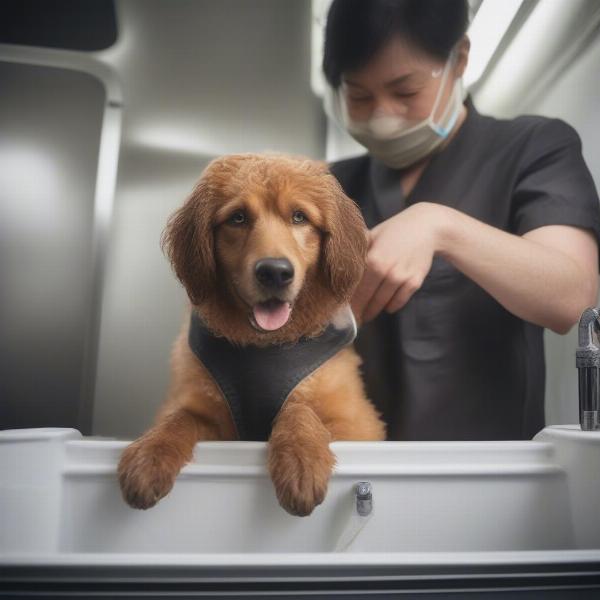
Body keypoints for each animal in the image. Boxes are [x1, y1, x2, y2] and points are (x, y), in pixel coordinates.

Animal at [117, 155, 384, 516]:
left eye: (299, 217)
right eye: (238, 218)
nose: (274, 272)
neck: (264, 346)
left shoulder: (359, 423)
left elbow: (300, 409)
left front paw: (300, 460)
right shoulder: (204, 413)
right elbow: (178, 418)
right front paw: (149, 455)